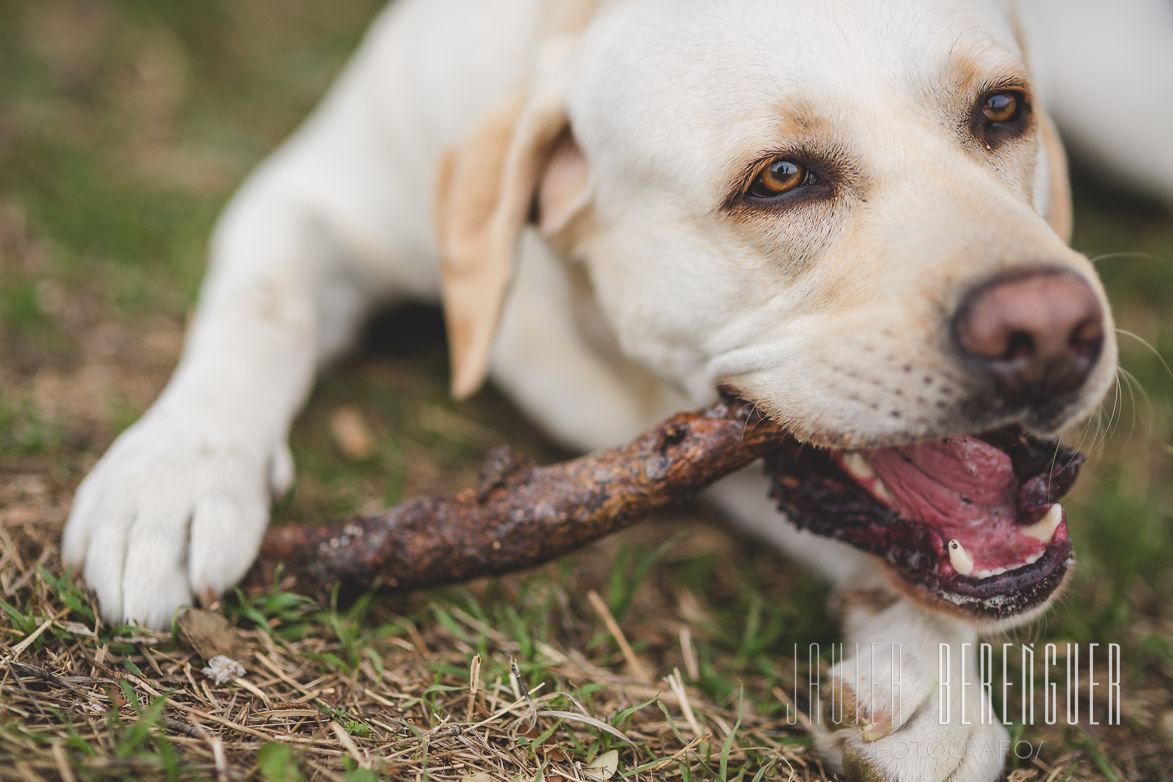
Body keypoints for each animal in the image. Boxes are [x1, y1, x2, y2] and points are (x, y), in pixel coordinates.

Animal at [61, 0, 1173, 778]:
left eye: (1002, 110)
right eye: (780, 179)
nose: (1049, 329)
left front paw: (920, 675)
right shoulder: (312, 197)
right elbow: (259, 313)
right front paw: (173, 477)